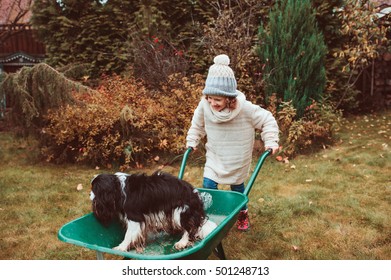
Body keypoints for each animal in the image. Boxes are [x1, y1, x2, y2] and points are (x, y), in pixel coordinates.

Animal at [89, 171, 217, 252]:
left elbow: (128, 235)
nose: (89, 194)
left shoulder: (134, 218)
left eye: (94, 189)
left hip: (179, 211)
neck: (118, 188)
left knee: (189, 228)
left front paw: (122, 247)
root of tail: (195, 194)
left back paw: (182, 242)